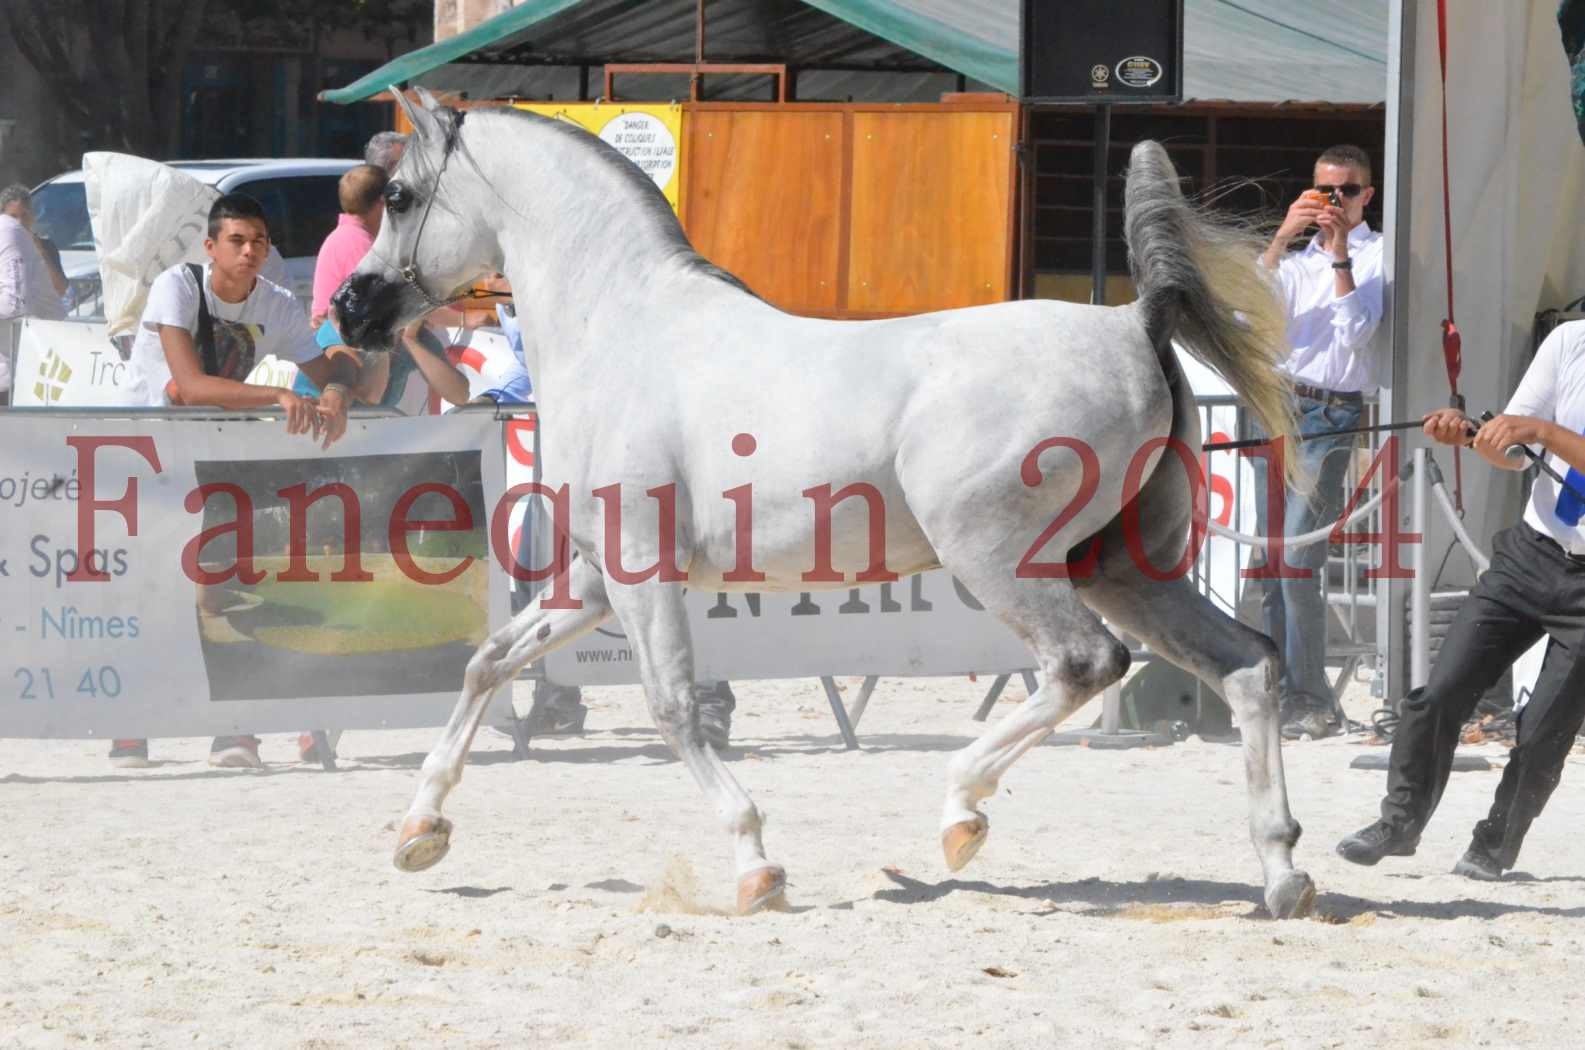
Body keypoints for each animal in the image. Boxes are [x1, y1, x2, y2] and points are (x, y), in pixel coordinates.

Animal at [331, 94, 1312, 926]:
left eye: (401, 194)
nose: (349, 308)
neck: (619, 332)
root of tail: (1131, 324)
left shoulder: (640, 572)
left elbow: (672, 707)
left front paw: (755, 866)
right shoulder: (597, 578)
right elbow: (488, 663)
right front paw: (420, 832)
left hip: (1000, 560)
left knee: (1081, 665)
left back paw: (959, 813)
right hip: (1122, 567)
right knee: (1247, 665)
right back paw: (1281, 870)